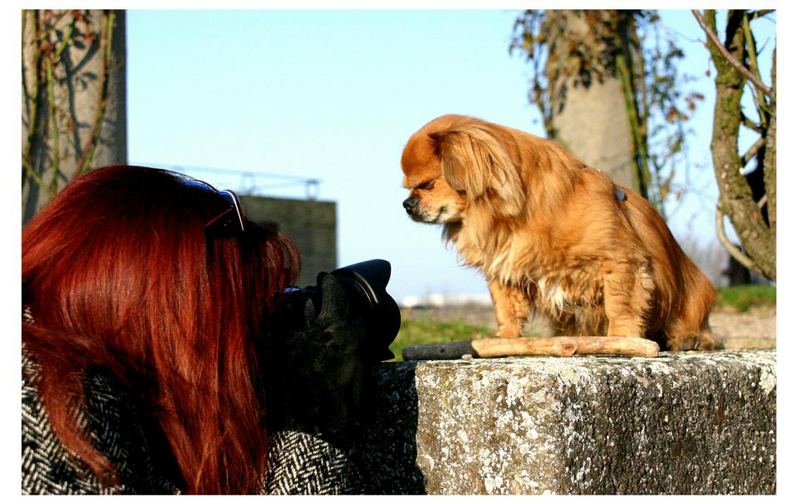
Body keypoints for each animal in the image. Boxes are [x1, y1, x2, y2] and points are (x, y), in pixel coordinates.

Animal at [404, 114, 716, 350]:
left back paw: (691, 339)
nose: (406, 204)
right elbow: (506, 308)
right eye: (408, 188)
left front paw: (622, 337)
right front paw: (504, 338)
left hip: (694, 293)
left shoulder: (621, 261)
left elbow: (621, 303)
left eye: (427, 185)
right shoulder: (504, 272)